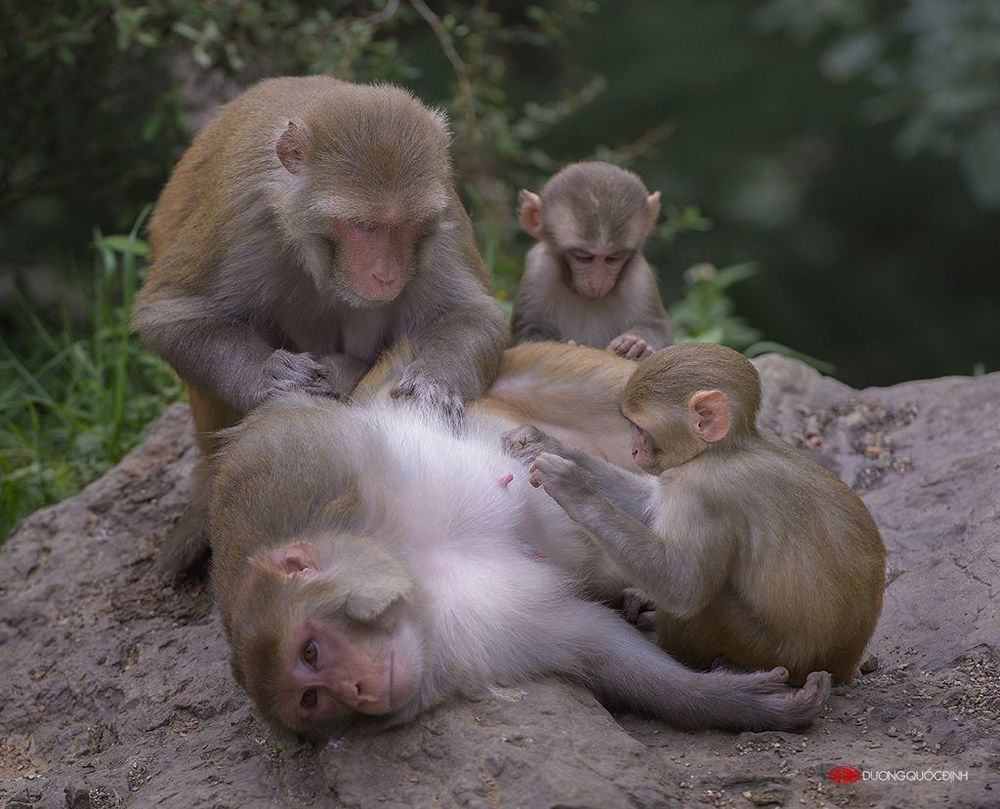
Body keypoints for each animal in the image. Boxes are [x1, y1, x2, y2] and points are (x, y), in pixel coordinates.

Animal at [131, 76, 507, 574]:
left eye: (406, 225)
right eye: (364, 226)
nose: (387, 274)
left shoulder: (440, 208)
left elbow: (472, 312)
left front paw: (432, 385)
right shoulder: (244, 211)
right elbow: (171, 312)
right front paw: (271, 375)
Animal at [209, 344, 831, 742]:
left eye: (310, 651)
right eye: (312, 700)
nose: (359, 691)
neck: (410, 567)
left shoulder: (292, 476)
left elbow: (297, 410)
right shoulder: (478, 637)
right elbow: (598, 646)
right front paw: (731, 701)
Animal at [503, 342, 885, 685]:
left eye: (640, 427)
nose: (633, 449)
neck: (722, 450)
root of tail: (842, 664)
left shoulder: (703, 493)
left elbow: (684, 585)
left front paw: (571, 484)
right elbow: (647, 501)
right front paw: (540, 441)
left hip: (765, 649)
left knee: (705, 603)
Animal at [510, 161, 672, 360]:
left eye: (613, 257)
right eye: (582, 257)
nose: (596, 283)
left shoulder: (639, 273)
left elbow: (657, 327)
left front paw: (637, 343)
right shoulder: (539, 267)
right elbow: (528, 330)